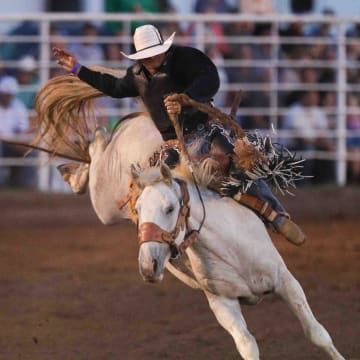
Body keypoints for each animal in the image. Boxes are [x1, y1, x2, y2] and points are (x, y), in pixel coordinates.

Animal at [131, 162, 344, 360]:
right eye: (137, 209)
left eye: (170, 208)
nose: (148, 266)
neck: (230, 249)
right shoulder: (223, 303)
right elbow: (247, 346)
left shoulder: (285, 280)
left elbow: (317, 333)